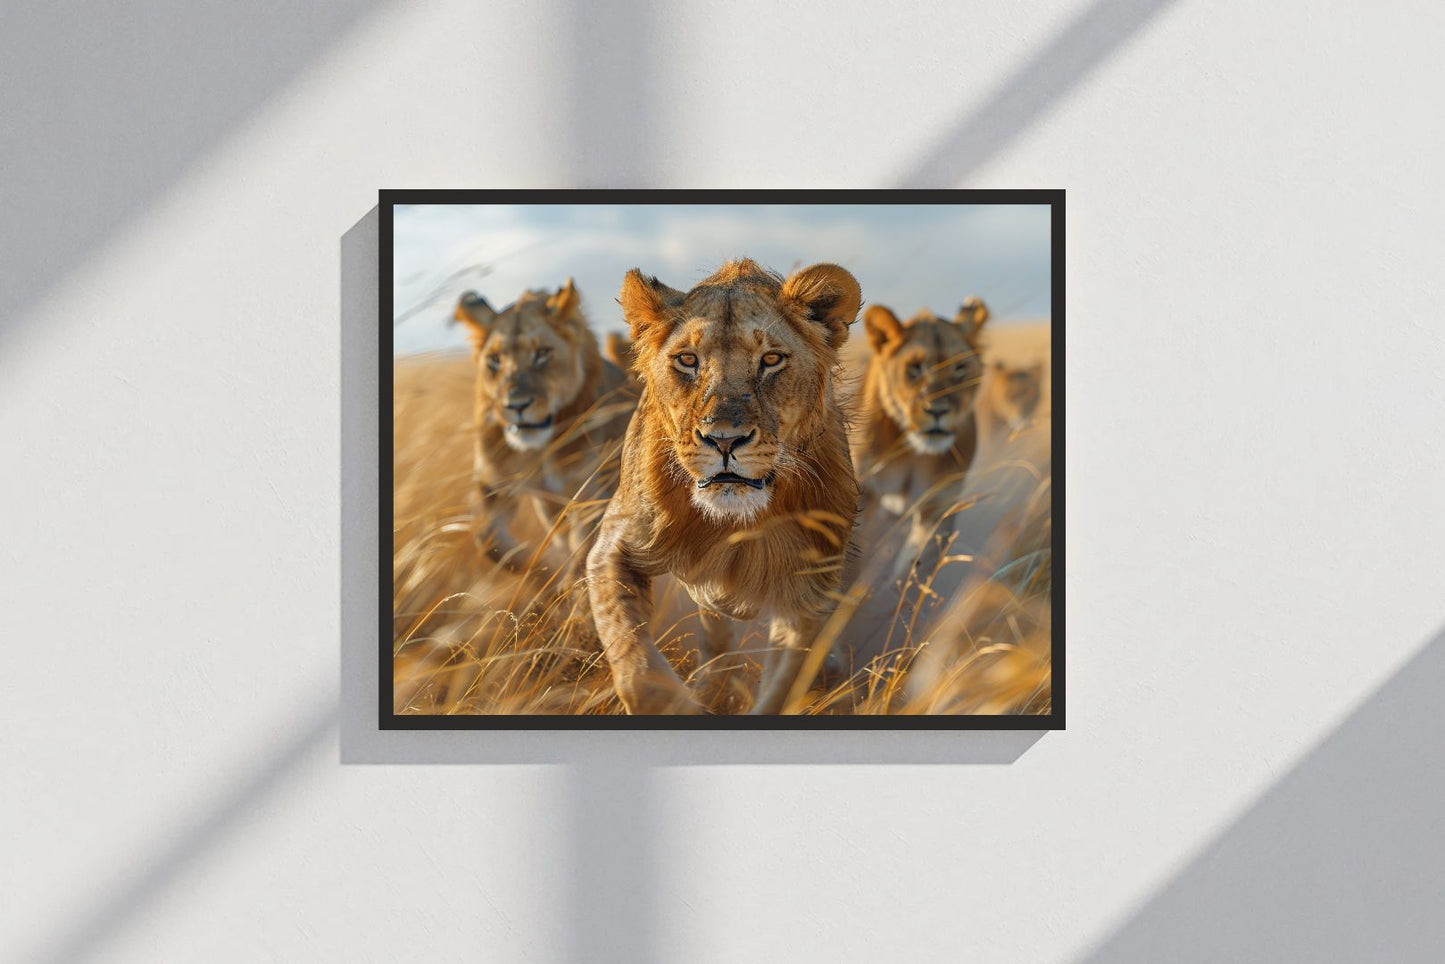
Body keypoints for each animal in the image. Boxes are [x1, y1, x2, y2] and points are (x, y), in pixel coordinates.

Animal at [452, 279, 635, 580]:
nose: (516, 405)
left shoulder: (594, 495)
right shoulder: (494, 484)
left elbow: (583, 555)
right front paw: (543, 574)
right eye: (495, 360)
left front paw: (568, 583)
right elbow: (489, 539)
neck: (539, 450)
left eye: (542, 354)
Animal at [586, 259, 863, 714]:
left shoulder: (807, 592)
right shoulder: (615, 546)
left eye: (771, 359)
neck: (732, 523)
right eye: (687, 360)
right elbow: (638, 670)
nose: (724, 440)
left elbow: (784, 685)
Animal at [852, 296, 989, 579]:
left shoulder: (939, 504)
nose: (937, 410)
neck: (914, 452)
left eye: (960, 367)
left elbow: (915, 569)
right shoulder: (864, 490)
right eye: (915, 368)